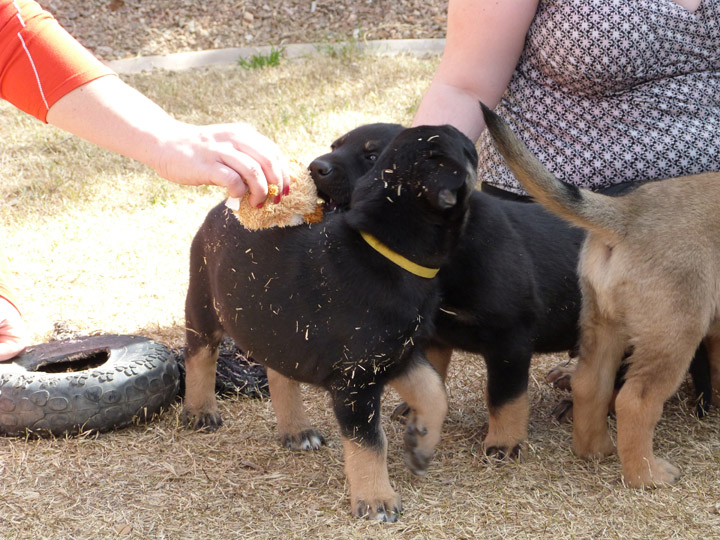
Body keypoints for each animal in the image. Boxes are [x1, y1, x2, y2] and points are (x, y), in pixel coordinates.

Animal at [184, 124, 478, 520]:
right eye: (466, 151)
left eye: (372, 154)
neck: (385, 250)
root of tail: (221, 208)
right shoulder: (356, 380)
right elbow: (369, 442)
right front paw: (376, 499)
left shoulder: (398, 354)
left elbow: (434, 392)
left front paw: (421, 441)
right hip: (203, 302)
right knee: (200, 355)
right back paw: (200, 411)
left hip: (278, 326)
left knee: (279, 371)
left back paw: (296, 429)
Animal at [478, 103, 720, 488]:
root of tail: (626, 215)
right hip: (672, 336)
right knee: (635, 401)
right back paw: (646, 474)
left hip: (603, 324)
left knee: (590, 385)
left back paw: (596, 450)